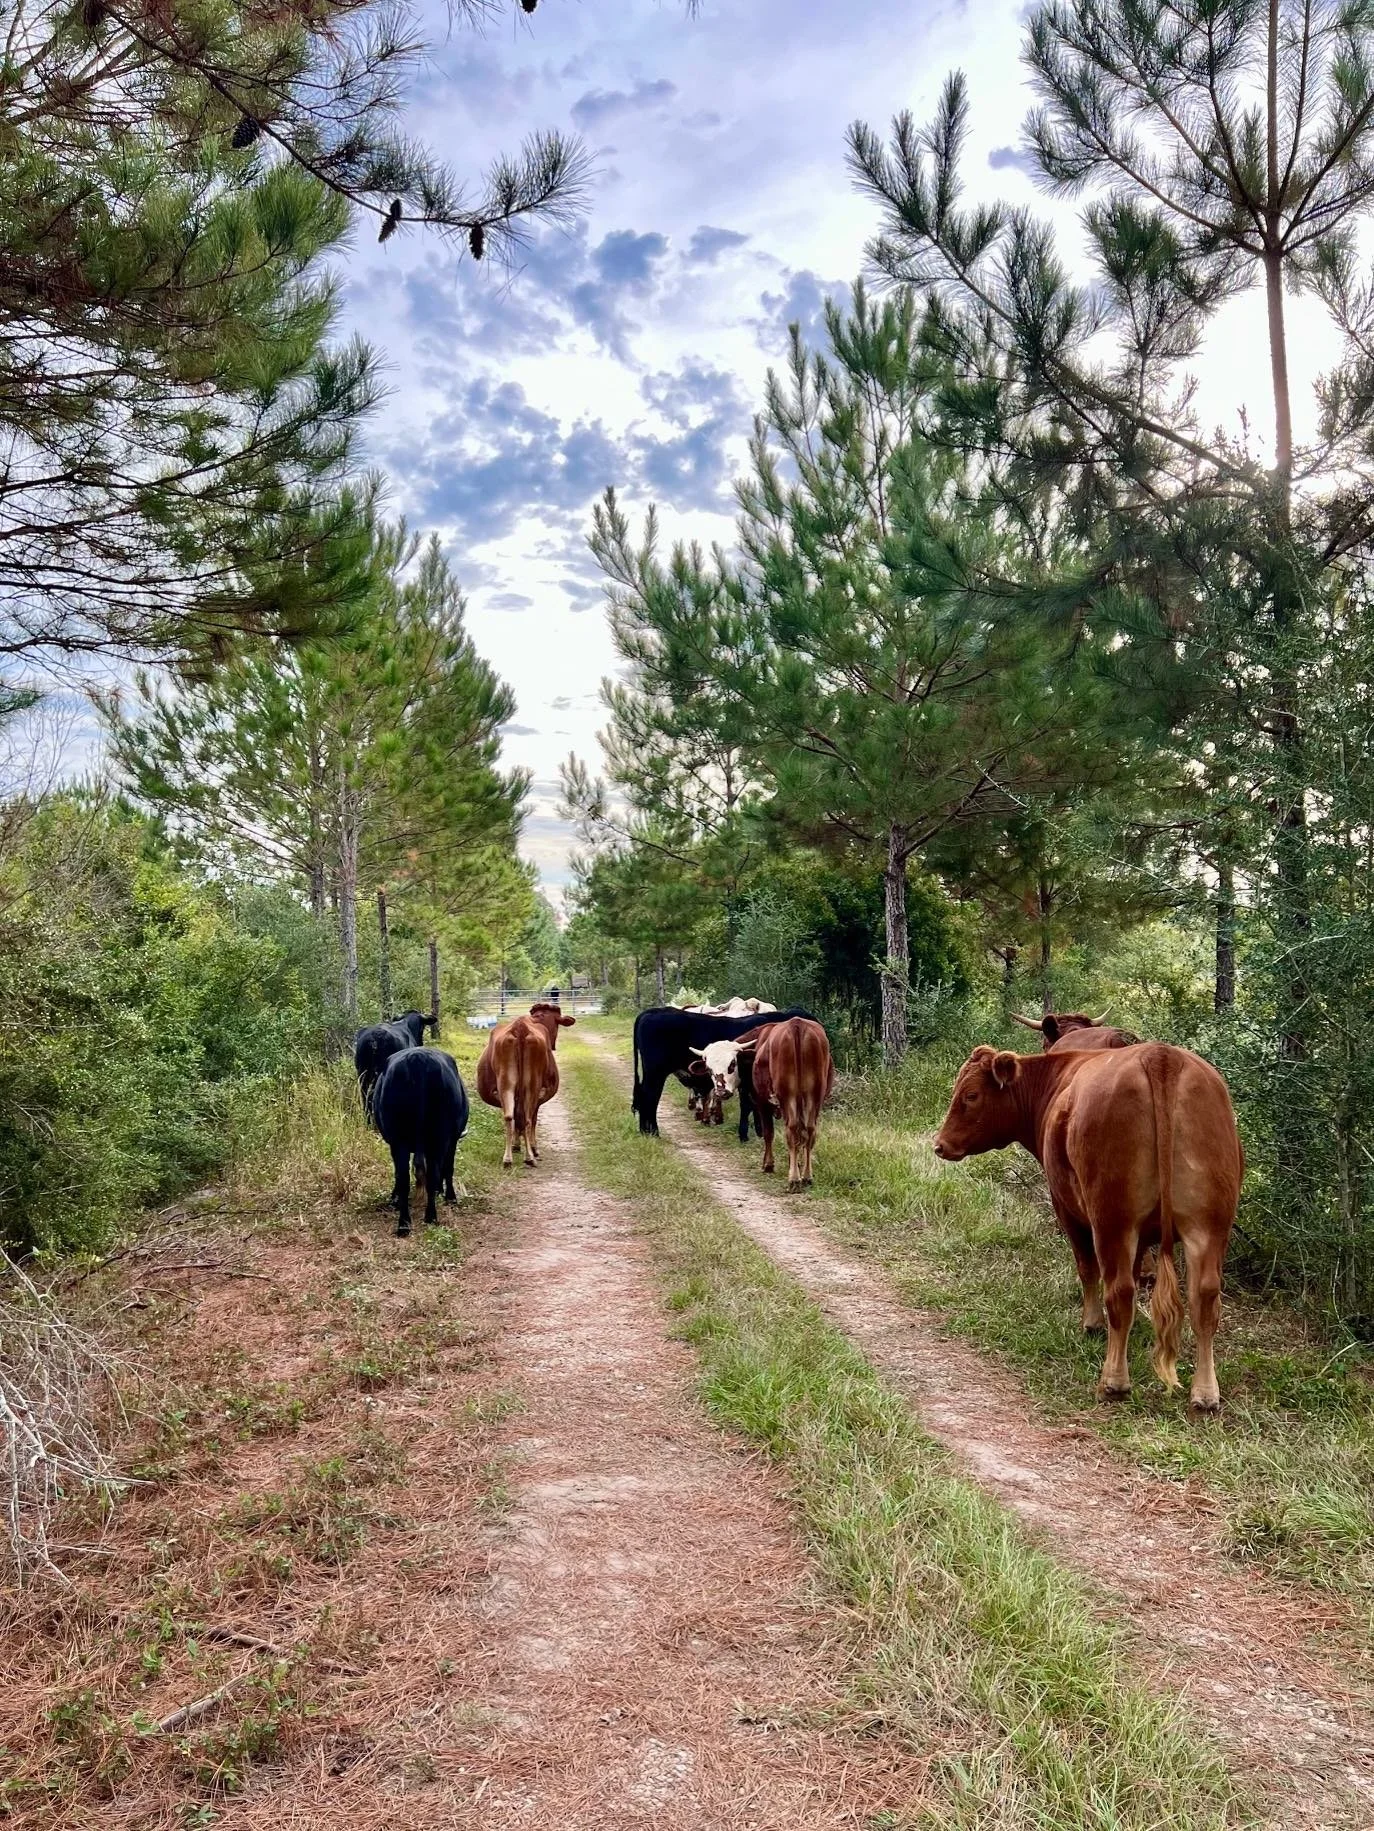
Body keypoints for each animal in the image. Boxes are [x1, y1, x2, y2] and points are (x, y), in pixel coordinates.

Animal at [374, 1046, 469, 1238]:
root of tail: (418, 1058)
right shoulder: (451, 1141)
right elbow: (448, 1168)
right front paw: (450, 1196)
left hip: (400, 1142)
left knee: (403, 1177)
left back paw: (404, 1224)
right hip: (438, 1138)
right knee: (433, 1173)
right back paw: (430, 1216)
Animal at [476, 1002, 575, 1168]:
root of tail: (520, 1027)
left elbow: (517, 1117)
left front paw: (516, 1145)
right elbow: (531, 1119)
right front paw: (533, 1148)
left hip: (506, 1082)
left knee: (509, 1116)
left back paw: (508, 1159)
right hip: (532, 1084)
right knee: (528, 1118)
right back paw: (530, 1156)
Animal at [631, 1005, 815, 1138]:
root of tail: (651, 1011)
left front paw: (758, 1131)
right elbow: (748, 1104)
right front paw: (748, 1133)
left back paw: (644, 1130)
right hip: (655, 1072)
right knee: (650, 1096)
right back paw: (653, 1132)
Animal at [730, 1017, 835, 1190]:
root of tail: (796, 1024)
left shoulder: (762, 1102)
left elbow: (768, 1132)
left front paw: (768, 1164)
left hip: (788, 1095)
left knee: (792, 1129)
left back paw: (794, 1179)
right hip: (815, 1096)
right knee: (809, 1130)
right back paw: (806, 1176)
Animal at [933, 1043, 1242, 1411]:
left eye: (971, 1094)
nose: (940, 1144)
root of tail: (1160, 1055)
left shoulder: (1066, 1207)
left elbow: (1086, 1266)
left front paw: (1092, 1323)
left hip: (1112, 1219)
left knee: (1119, 1290)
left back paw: (1114, 1381)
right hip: (1208, 1226)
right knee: (1204, 1298)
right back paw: (1206, 1392)